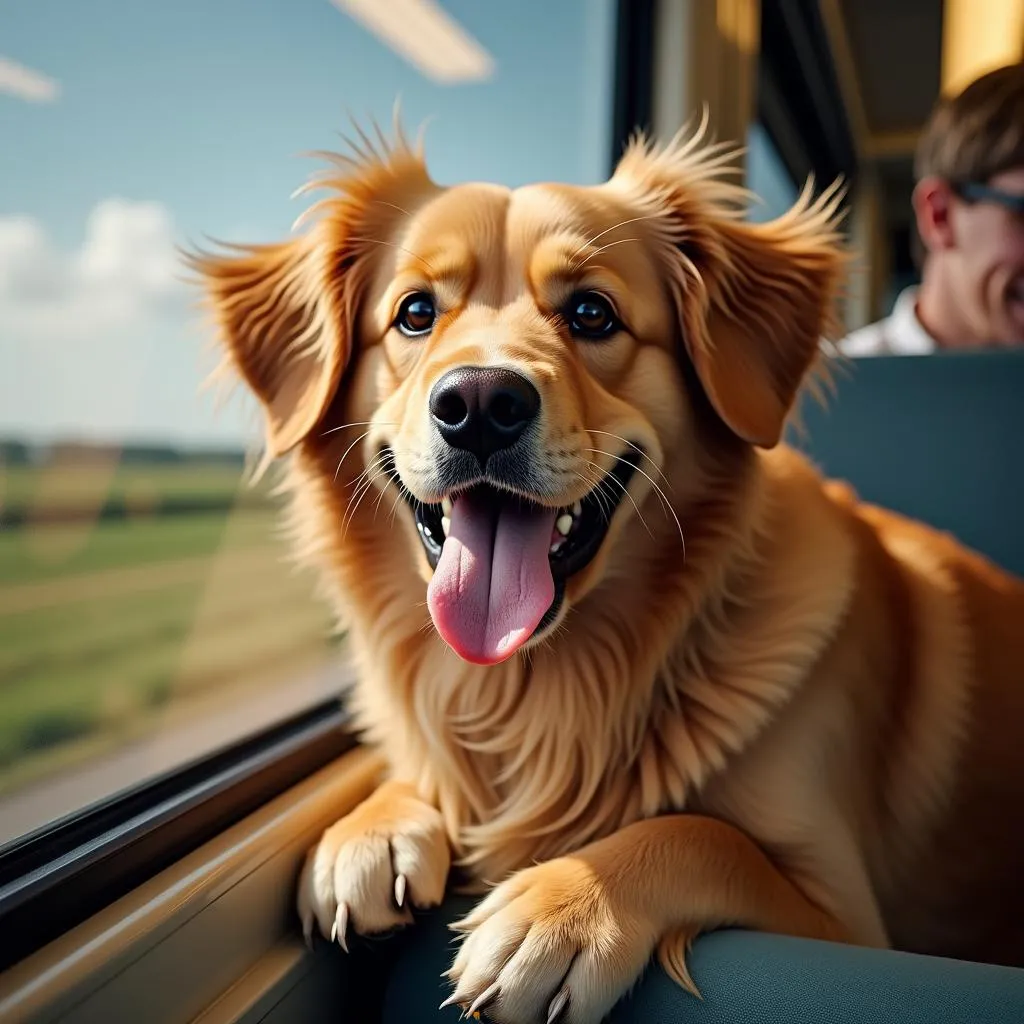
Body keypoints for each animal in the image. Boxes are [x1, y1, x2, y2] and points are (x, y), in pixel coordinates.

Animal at [192, 121, 1024, 1024]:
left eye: (592, 312)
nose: (479, 403)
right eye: (415, 313)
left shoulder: (845, 918)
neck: (536, 690)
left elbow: (703, 834)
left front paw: (561, 908)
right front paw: (374, 825)